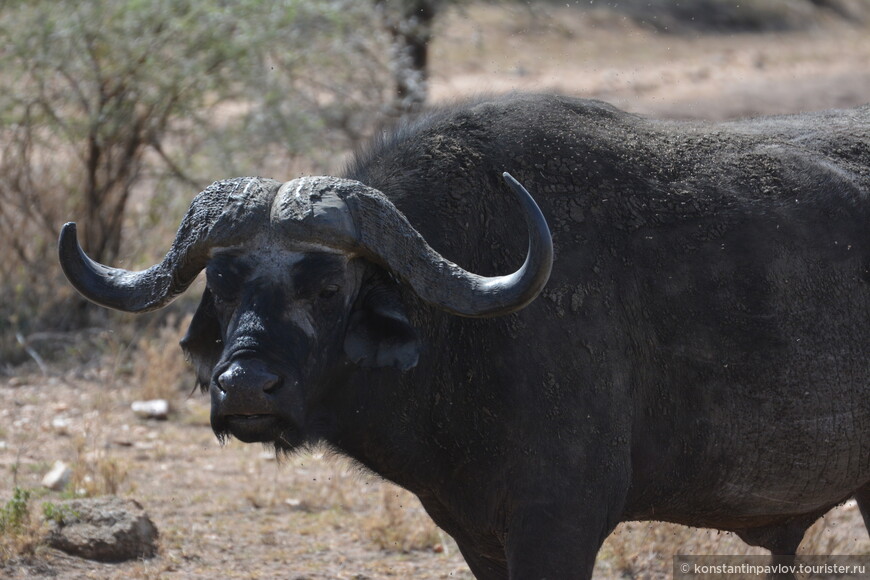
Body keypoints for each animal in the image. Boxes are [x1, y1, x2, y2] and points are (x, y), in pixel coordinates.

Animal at [59, 93, 870, 576]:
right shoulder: (474, 532)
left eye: (329, 287)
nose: (245, 388)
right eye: (222, 285)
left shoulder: (560, 527)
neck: (462, 339)